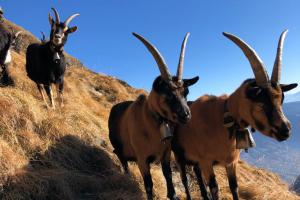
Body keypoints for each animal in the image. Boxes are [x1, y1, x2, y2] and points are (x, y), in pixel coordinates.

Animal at [108, 32, 199, 199]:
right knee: (121, 158)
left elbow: (169, 179)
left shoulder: (165, 154)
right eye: (168, 94)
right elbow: (149, 185)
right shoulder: (142, 159)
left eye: (186, 92)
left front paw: (173, 194)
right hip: (120, 149)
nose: (186, 115)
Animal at [171, 30, 298, 200]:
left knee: (197, 174)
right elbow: (215, 189)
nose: (286, 130)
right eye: (260, 104)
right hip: (178, 154)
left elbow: (234, 187)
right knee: (184, 179)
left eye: (281, 100)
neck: (221, 119)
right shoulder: (206, 162)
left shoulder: (231, 162)